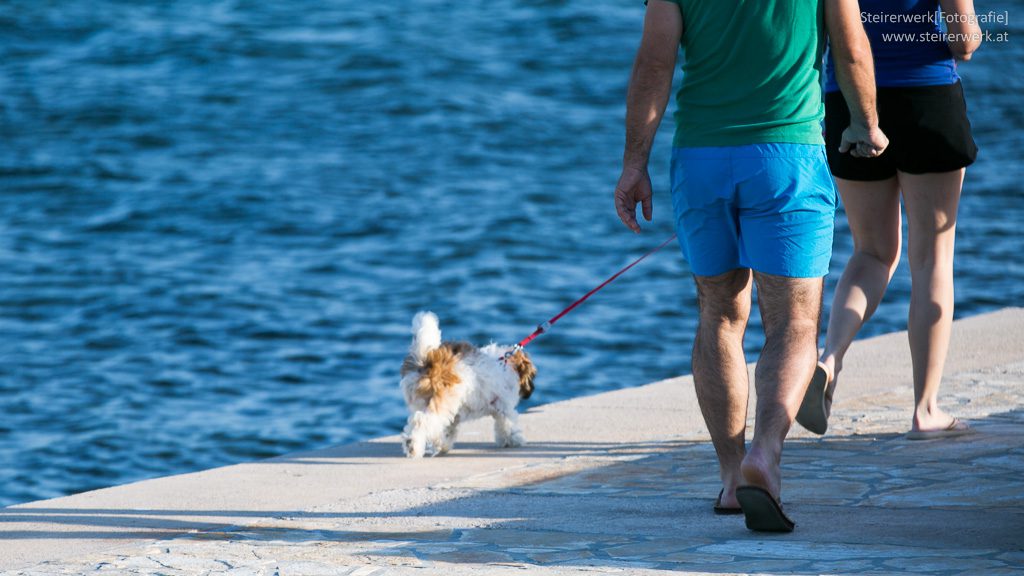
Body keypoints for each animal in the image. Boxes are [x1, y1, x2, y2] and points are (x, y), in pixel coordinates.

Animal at [401, 311, 540, 455]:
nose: (531, 390)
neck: (507, 363)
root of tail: (427, 362)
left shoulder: (455, 414)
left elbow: (449, 430)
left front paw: (442, 445)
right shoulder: (504, 407)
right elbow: (507, 424)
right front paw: (515, 439)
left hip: (423, 402)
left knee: (415, 421)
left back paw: (411, 443)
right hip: (440, 403)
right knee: (421, 421)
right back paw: (413, 445)